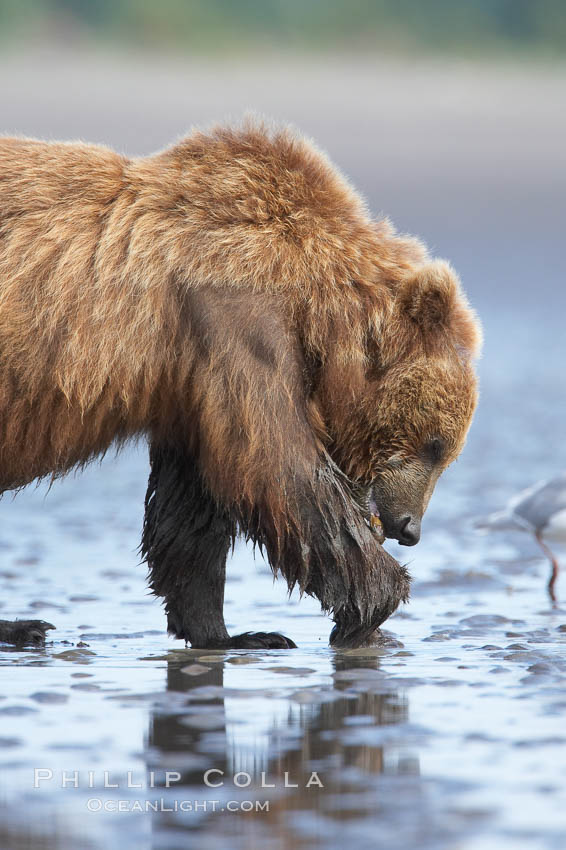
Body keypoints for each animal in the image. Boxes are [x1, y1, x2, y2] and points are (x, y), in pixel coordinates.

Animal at [0, 121, 482, 648]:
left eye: (447, 452)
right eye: (435, 444)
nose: (410, 527)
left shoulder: (188, 384)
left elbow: (194, 509)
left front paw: (231, 634)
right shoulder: (237, 322)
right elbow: (280, 470)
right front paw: (372, 605)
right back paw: (25, 625)